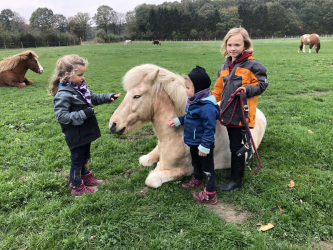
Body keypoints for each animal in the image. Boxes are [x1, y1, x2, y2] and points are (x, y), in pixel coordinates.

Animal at [109, 64, 268, 188]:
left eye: (137, 96)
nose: (113, 125)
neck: (175, 135)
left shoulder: (185, 170)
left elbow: (152, 179)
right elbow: (144, 160)